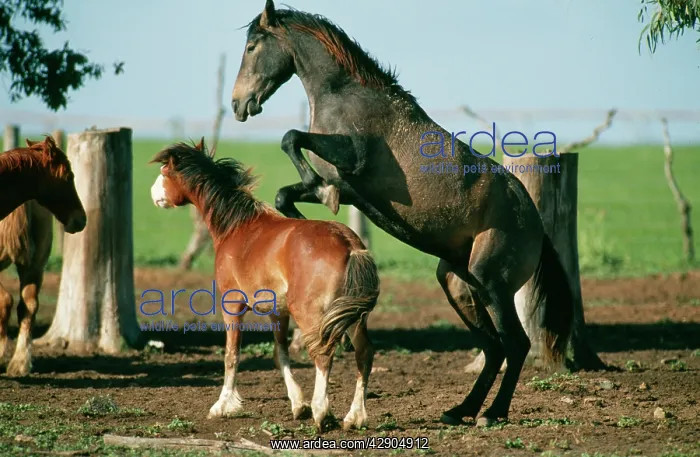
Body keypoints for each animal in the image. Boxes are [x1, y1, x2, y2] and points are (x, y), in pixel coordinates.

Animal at [149, 138, 380, 431]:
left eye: (165, 172)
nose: (154, 194)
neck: (237, 227)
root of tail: (350, 244)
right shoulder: (277, 312)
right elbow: (279, 354)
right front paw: (297, 405)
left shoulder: (232, 304)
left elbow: (231, 355)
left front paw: (222, 406)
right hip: (352, 317)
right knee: (364, 353)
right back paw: (355, 417)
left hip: (313, 315)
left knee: (323, 355)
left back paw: (322, 413)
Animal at [229, 0, 575, 427]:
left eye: (252, 47)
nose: (238, 104)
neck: (345, 96)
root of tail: (536, 227)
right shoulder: (346, 186)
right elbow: (285, 193)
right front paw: (305, 220)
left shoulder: (353, 158)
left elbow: (291, 137)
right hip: (458, 283)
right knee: (493, 347)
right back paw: (460, 410)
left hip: (491, 283)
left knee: (515, 343)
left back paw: (492, 413)